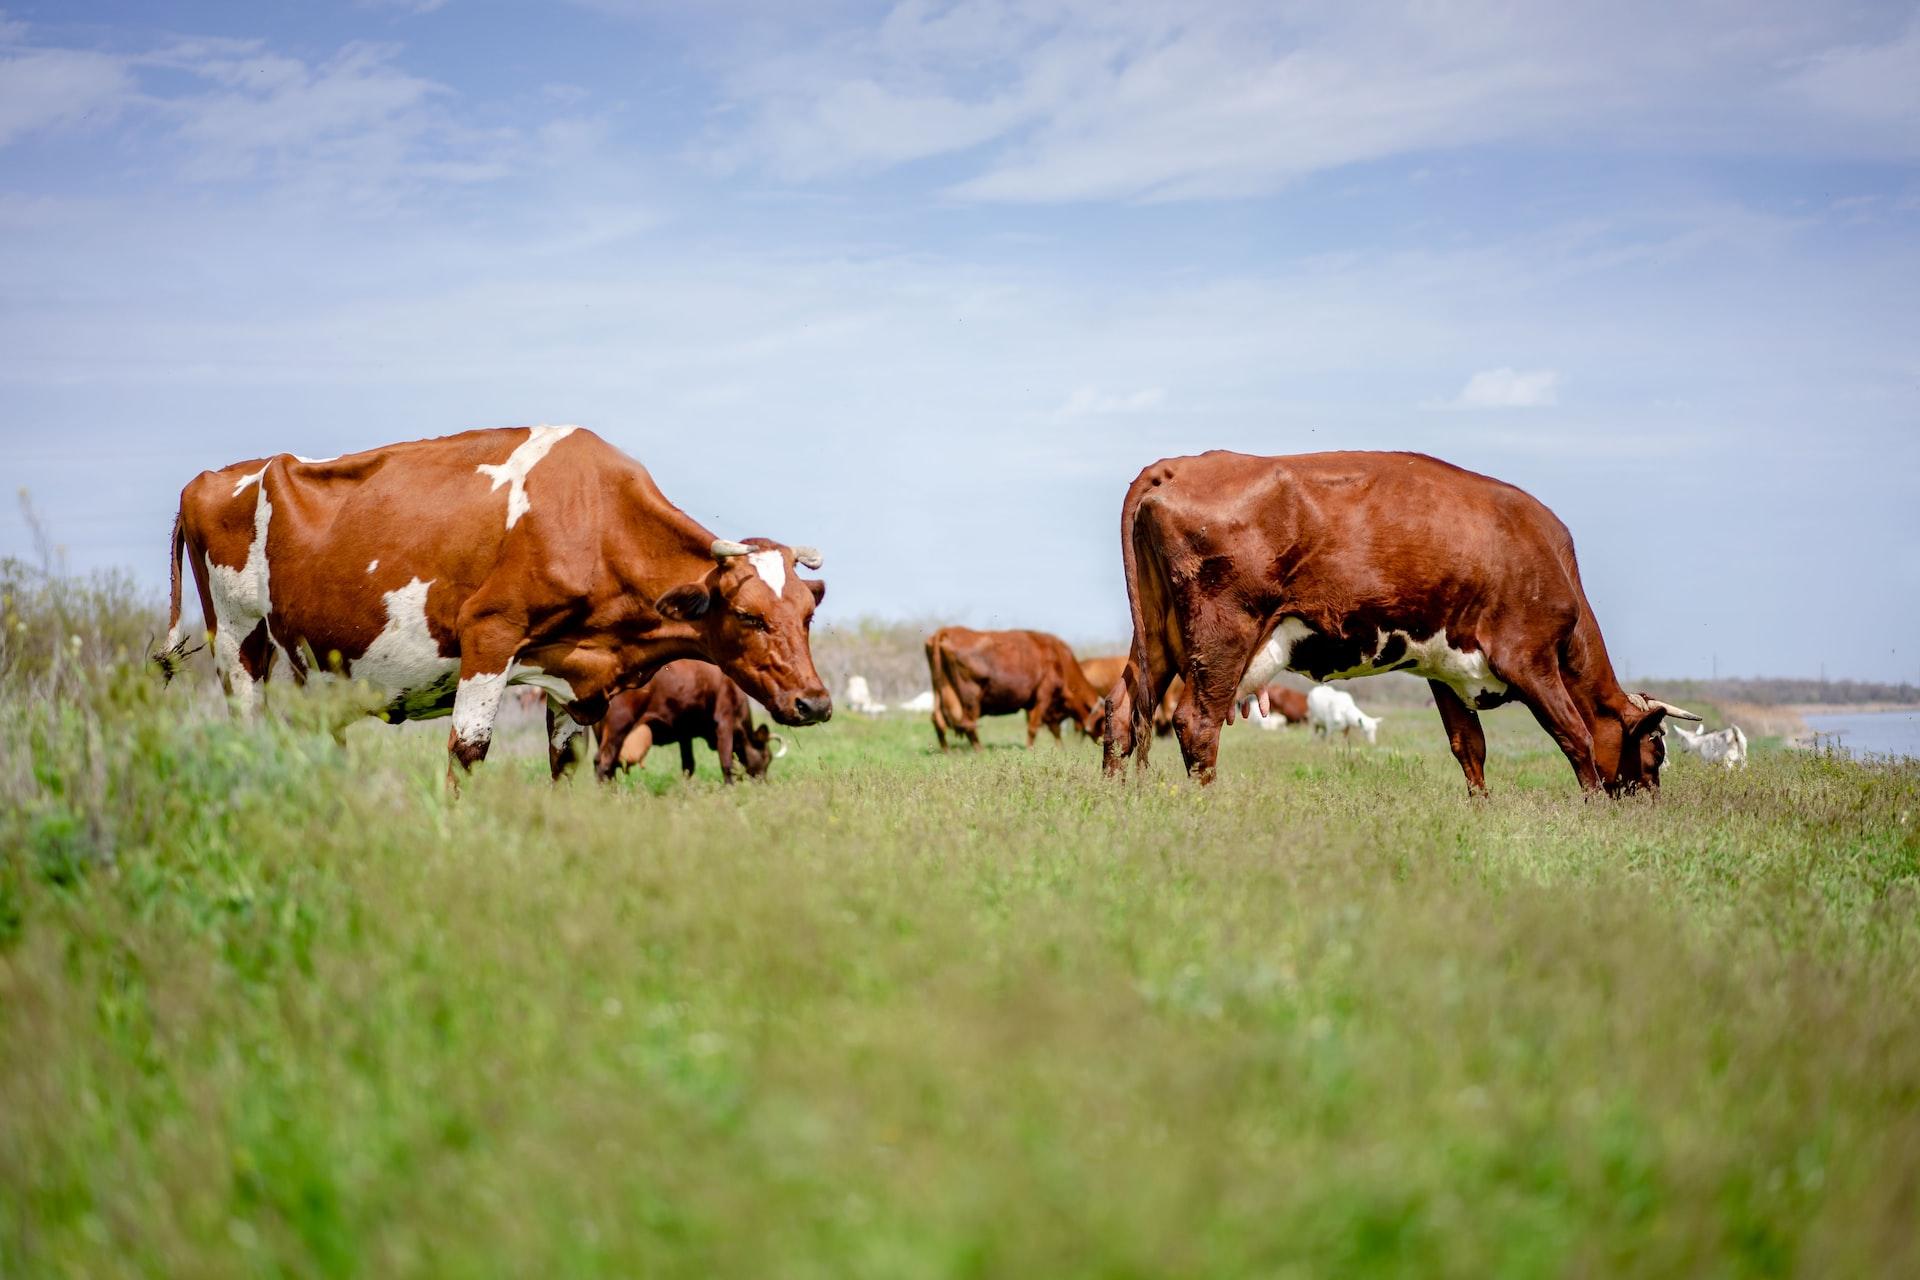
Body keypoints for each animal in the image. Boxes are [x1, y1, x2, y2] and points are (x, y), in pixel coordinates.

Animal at [595, 660, 783, 782]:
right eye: (767, 757)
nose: (763, 782)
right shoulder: (725, 721)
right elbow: (727, 762)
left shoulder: (684, 732)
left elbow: (688, 766)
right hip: (618, 726)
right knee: (603, 763)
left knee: (606, 764)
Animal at [929, 629, 1113, 752]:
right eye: (1104, 722)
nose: (1104, 743)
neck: (1061, 659)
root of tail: (947, 630)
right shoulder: (1044, 695)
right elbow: (1034, 727)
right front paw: (1030, 750)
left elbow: (1054, 729)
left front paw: (1060, 748)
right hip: (970, 698)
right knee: (969, 725)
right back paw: (980, 750)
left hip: (941, 690)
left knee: (938, 721)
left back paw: (947, 751)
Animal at [1105, 449, 1704, 790]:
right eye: (1655, 753)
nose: (1647, 808)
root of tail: (1180, 464)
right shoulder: (1530, 660)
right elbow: (1575, 736)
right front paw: (1592, 812)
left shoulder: (1446, 671)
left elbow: (1470, 751)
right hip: (1222, 638)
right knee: (1195, 722)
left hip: (1157, 635)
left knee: (1122, 711)